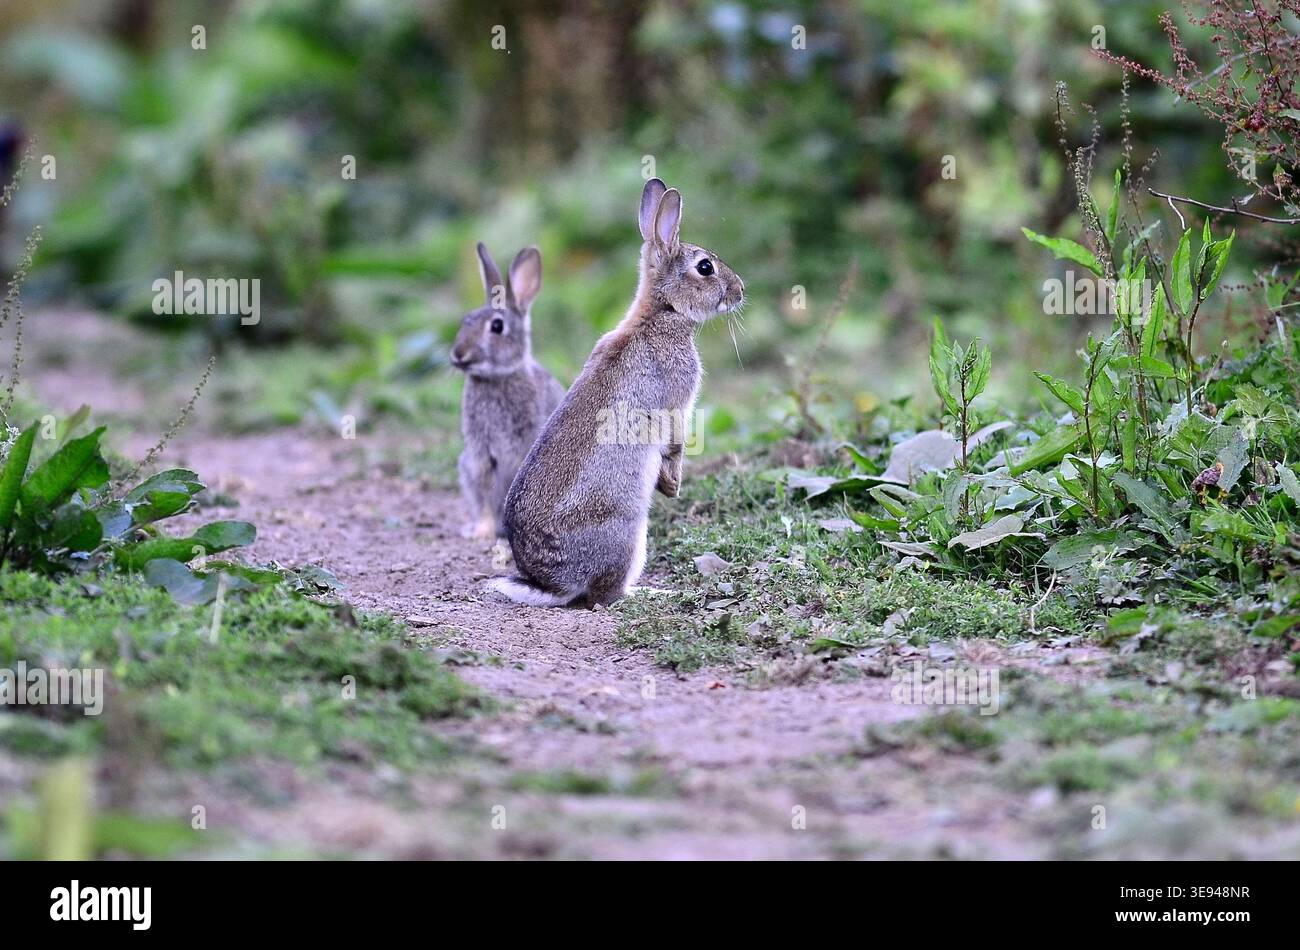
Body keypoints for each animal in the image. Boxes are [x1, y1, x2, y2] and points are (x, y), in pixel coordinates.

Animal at [452, 242, 566, 539]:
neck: (497, 377)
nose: (457, 354)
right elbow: (484, 494)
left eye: (497, 326)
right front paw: (482, 531)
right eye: (465, 320)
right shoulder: (480, 455)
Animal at [490, 178, 744, 606]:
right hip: (627, 532)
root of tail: (552, 582)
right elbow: (675, 444)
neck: (663, 313)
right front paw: (673, 486)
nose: (740, 291)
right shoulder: (676, 404)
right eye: (705, 267)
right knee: (603, 595)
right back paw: (650, 593)